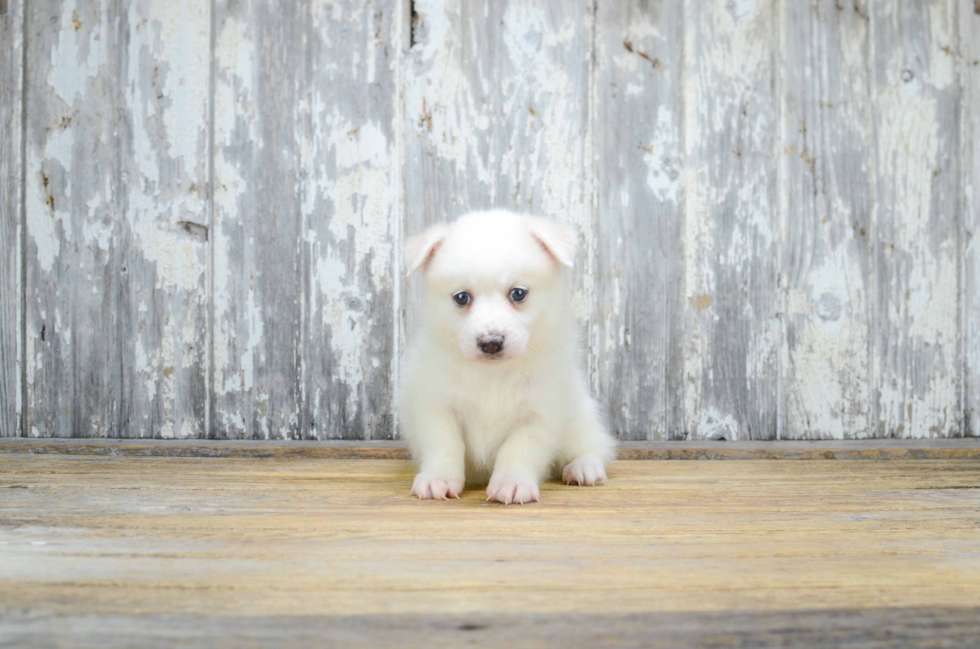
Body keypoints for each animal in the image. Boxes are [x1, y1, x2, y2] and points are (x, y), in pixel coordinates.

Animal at [396, 210, 612, 504]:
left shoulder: (540, 413)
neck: (493, 375)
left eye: (518, 293)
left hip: (581, 418)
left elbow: (518, 449)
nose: (491, 342)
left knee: (592, 446)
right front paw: (437, 479)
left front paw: (512, 484)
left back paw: (583, 467)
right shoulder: (437, 406)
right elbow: (444, 443)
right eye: (461, 297)